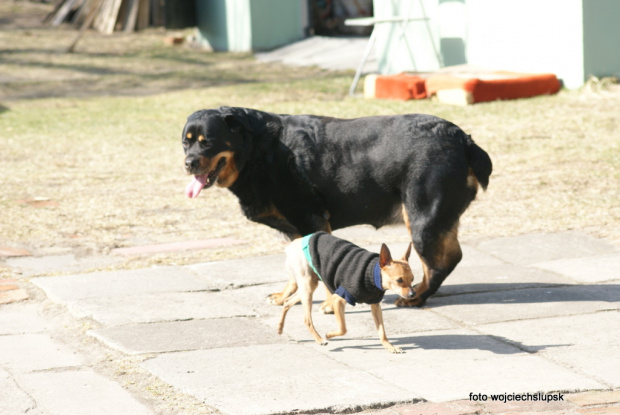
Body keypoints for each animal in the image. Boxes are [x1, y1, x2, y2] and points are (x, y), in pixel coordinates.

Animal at [182, 107, 492, 308]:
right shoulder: (297, 229)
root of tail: (462, 139)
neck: (258, 150)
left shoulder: (310, 220)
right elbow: (296, 270)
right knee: (451, 256)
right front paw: (287, 297)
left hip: (422, 217)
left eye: (207, 143)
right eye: (185, 144)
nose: (188, 163)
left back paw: (416, 297)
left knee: (439, 263)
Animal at [278, 232, 414, 352]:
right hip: (307, 286)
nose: (413, 294)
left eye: (412, 279)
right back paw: (319, 339)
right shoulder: (338, 299)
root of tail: (292, 245)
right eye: (399, 280)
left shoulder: (375, 305)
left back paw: (279, 328)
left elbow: (382, 330)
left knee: (287, 301)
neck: (372, 274)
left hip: (310, 285)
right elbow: (343, 329)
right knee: (307, 320)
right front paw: (329, 334)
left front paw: (389, 346)